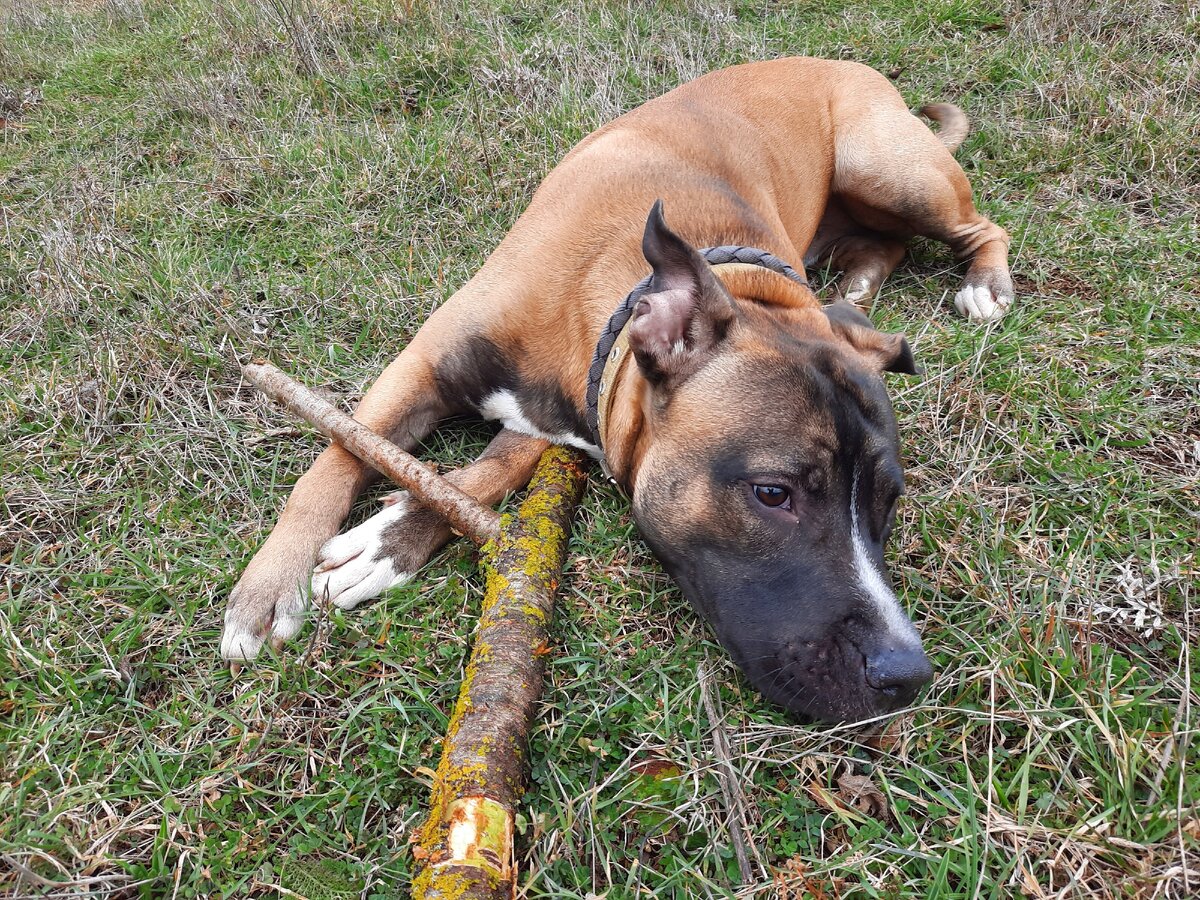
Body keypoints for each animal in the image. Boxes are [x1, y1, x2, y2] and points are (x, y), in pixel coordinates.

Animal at [223, 56, 1012, 724]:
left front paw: (388, 539)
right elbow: (339, 455)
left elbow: (476, 478)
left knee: (977, 226)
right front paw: (270, 584)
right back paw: (874, 285)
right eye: (773, 494)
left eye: (889, 501)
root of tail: (855, 67)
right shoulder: (425, 366)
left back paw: (975, 283)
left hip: (894, 174)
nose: (908, 674)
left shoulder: (563, 419)